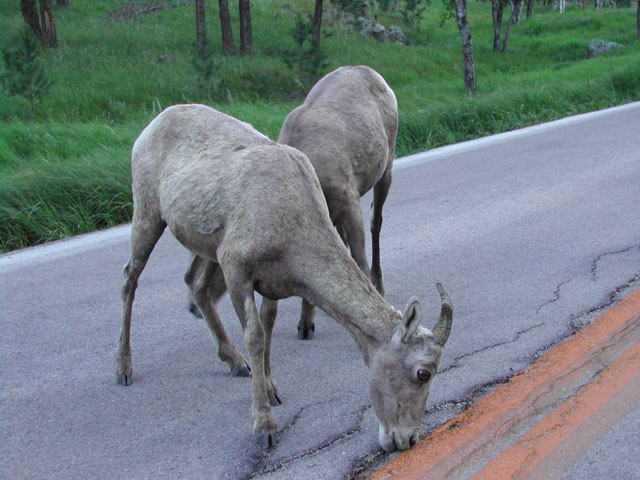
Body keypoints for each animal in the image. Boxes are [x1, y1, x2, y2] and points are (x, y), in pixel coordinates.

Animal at [116, 103, 456, 452]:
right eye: (423, 373)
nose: (407, 439)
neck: (292, 223)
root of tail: (153, 124)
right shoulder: (236, 269)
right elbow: (254, 336)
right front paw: (264, 426)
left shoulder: (270, 282)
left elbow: (268, 327)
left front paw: (271, 388)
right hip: (147, 214)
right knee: (130, 277)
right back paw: (124, 370)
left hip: (206, 247)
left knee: (195, 284)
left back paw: (235, 363)